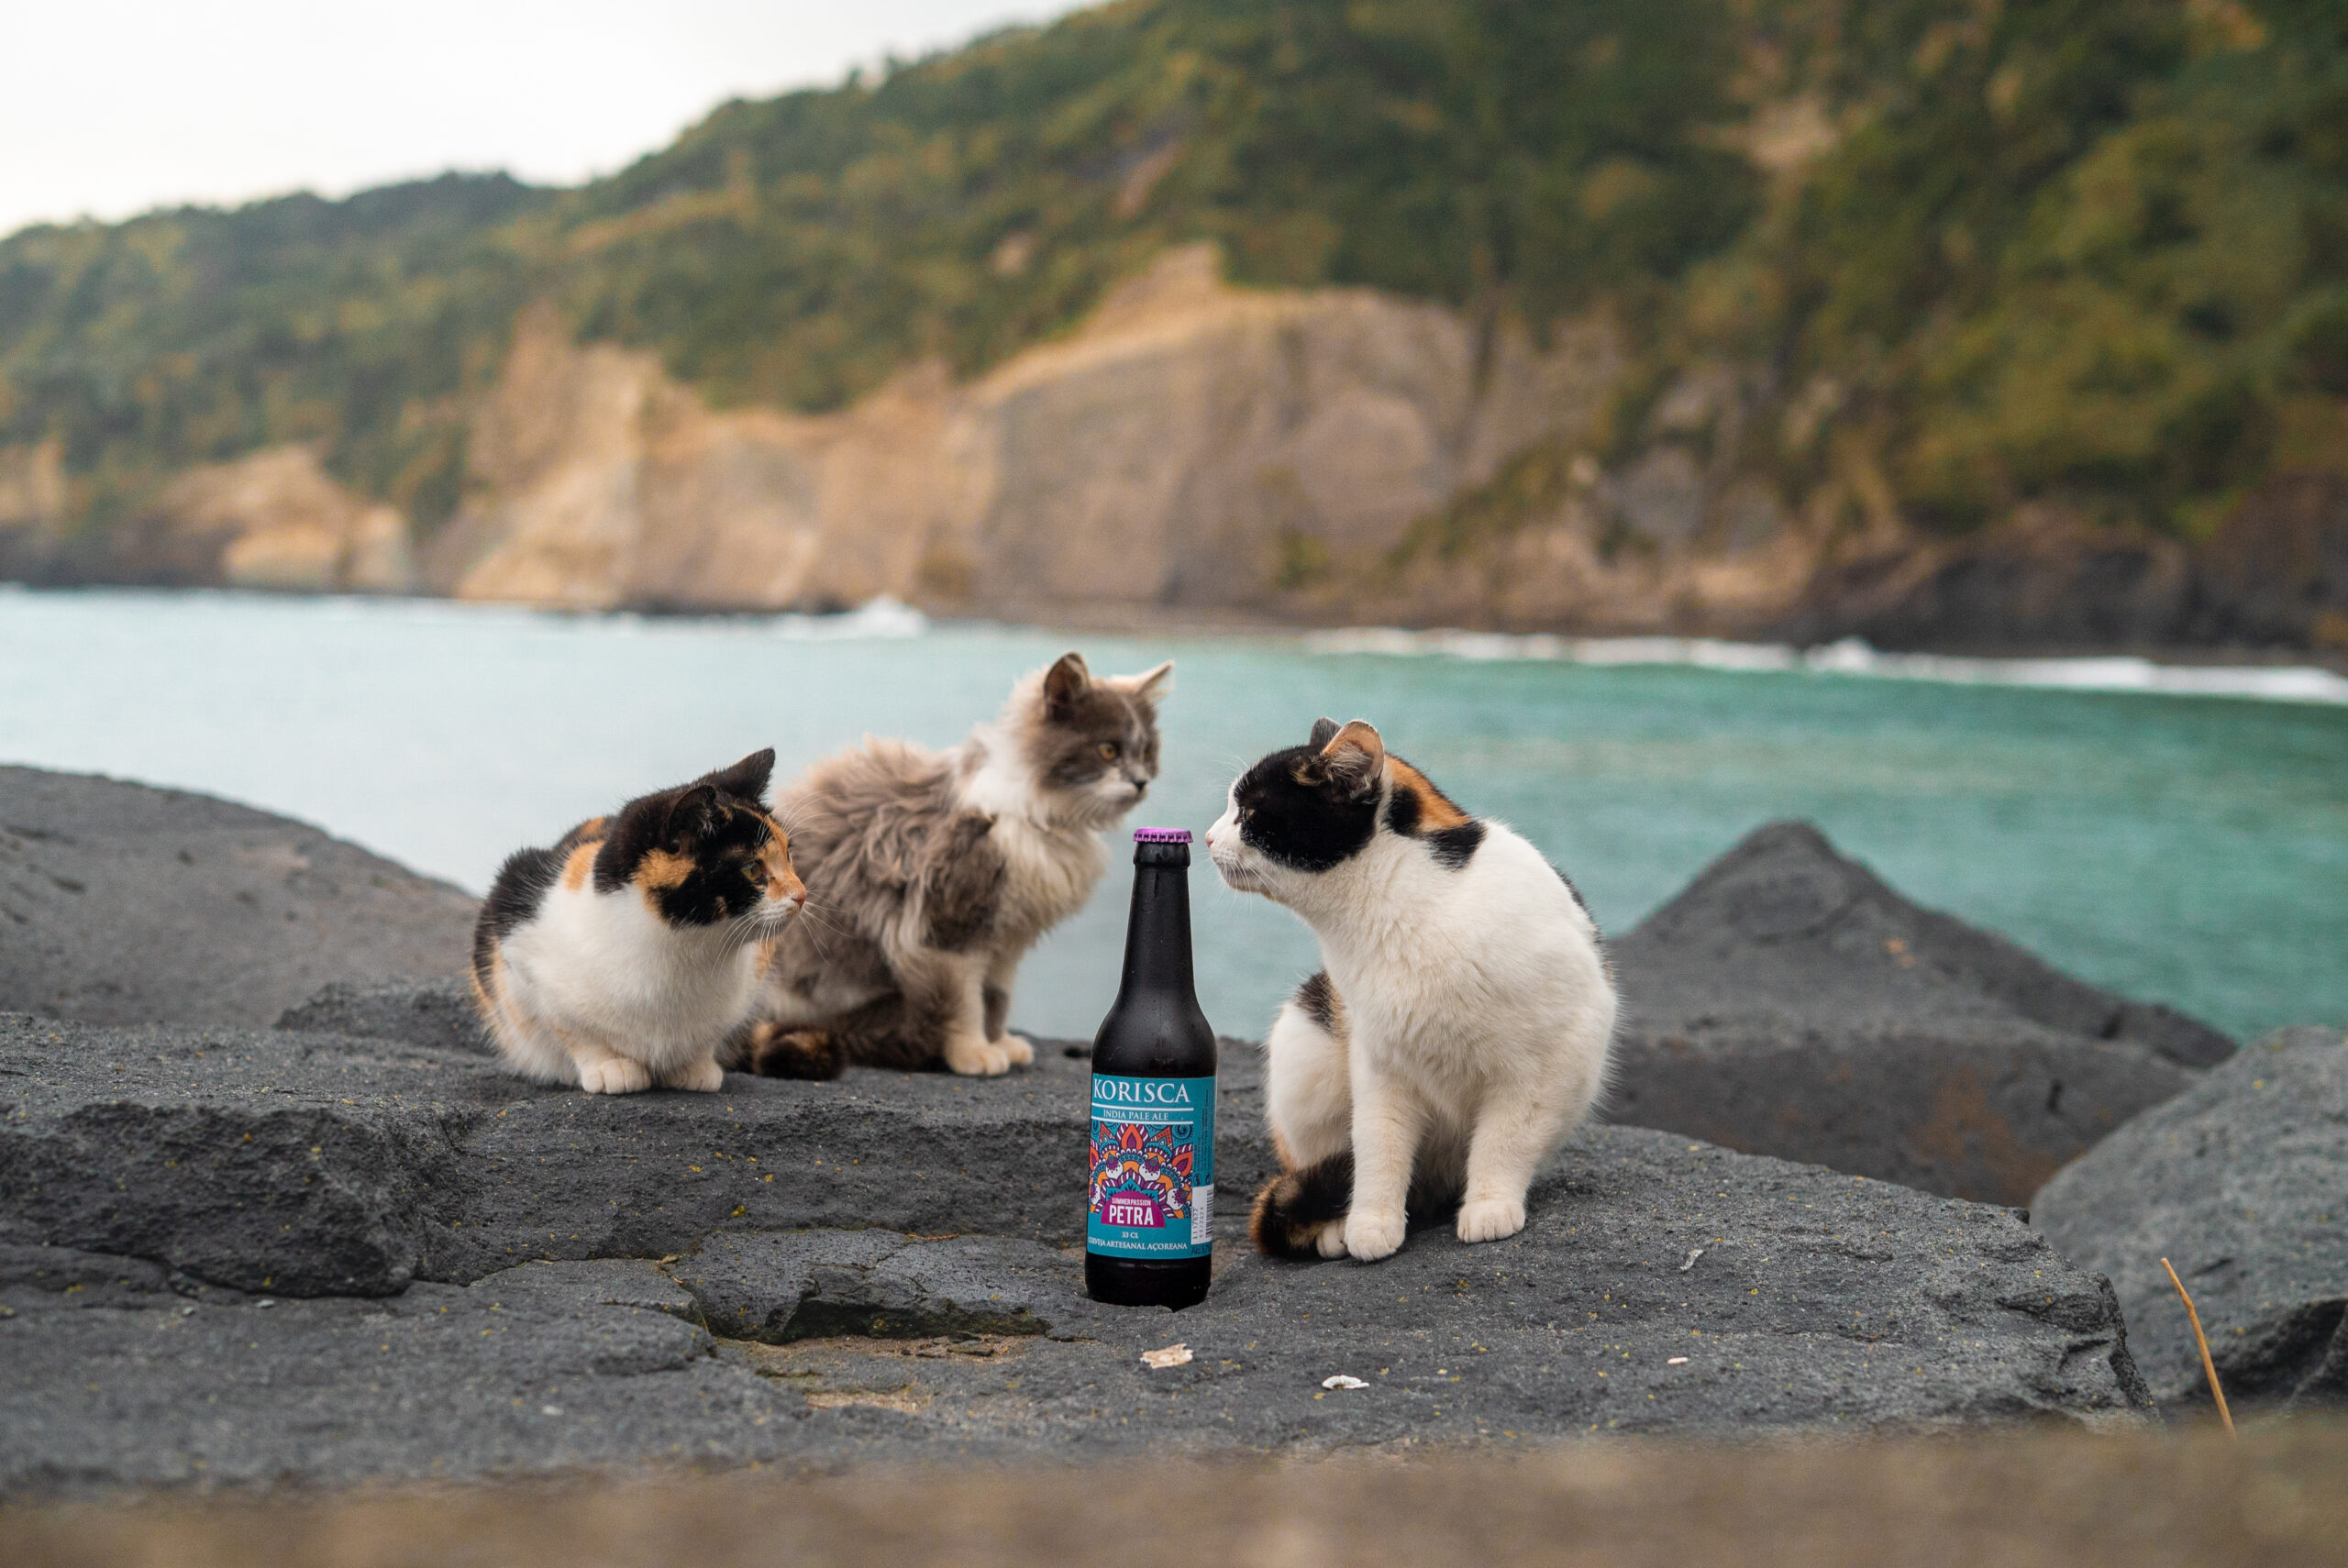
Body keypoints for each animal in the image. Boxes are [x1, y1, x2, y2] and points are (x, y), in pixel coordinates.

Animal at [470, 751, 807, 1099]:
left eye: (788, 855)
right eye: (752, 868)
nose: (802, 895)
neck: (684, 951)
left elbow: (709, 1036)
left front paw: (695, 1068)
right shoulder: (515, 929)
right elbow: (572, 1029)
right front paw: (610, 1068)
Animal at [737, 647, 1168, 1079]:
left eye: (1147, 752)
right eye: (1108, 750)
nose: (1141, 782)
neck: (1036, 817)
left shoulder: (1005, 941)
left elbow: (996, 999)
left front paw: (1000, 1043)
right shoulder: (944, 930)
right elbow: (964, 1003)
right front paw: (974, 1052)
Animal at [1211, 718, 1615, 1258]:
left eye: (1250, 814)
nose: (1206, 838)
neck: (1396, 898)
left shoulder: (1545, 1066)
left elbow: (1504, 1143)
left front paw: (1489, 1208)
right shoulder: (1379, 1063)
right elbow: (1378, 1146)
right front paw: (1370, 1223)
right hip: (1304, 1041)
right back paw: (1333, 1227)